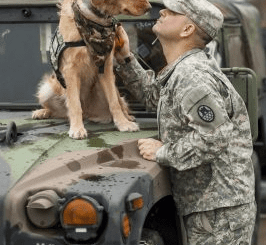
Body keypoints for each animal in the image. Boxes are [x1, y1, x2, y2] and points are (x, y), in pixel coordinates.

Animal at [32, 0, 151, 139]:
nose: (149, 7)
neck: (93, 23)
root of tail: (88, 113)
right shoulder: (70, 70)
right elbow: (75, 104)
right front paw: (77, 128)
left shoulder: (106, 68)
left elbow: (114, 102)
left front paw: (123, 123)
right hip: (47, 89)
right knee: (59, 111)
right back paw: (42, 112)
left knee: (120, 102)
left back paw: (128, 117)